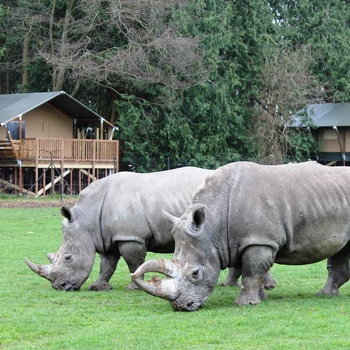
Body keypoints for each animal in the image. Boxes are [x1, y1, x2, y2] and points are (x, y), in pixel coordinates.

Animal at [131, 161, 350, 312]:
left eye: (195, 273)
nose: (181, 307)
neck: (213, 224)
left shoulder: (259, 240)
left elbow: (253, 271)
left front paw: (245, 304)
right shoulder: (241, 241)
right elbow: (251, 271)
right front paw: (261, 299)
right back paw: (326, 294)